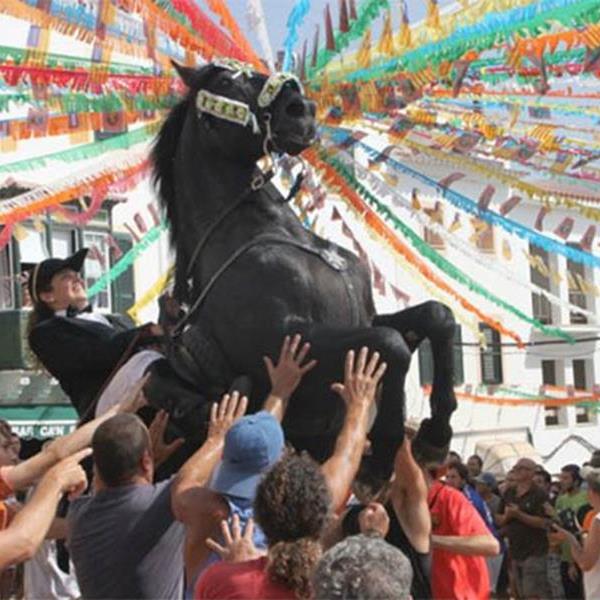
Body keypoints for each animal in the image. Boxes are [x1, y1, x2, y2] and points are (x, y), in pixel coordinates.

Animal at [148, 58, 458, 476]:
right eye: (227, 81)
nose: (301, 110)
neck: (272, 231)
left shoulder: (365, 317)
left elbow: (436, 317)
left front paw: (435, 433)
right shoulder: (283, 338)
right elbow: (392, 344)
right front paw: (384, 449)